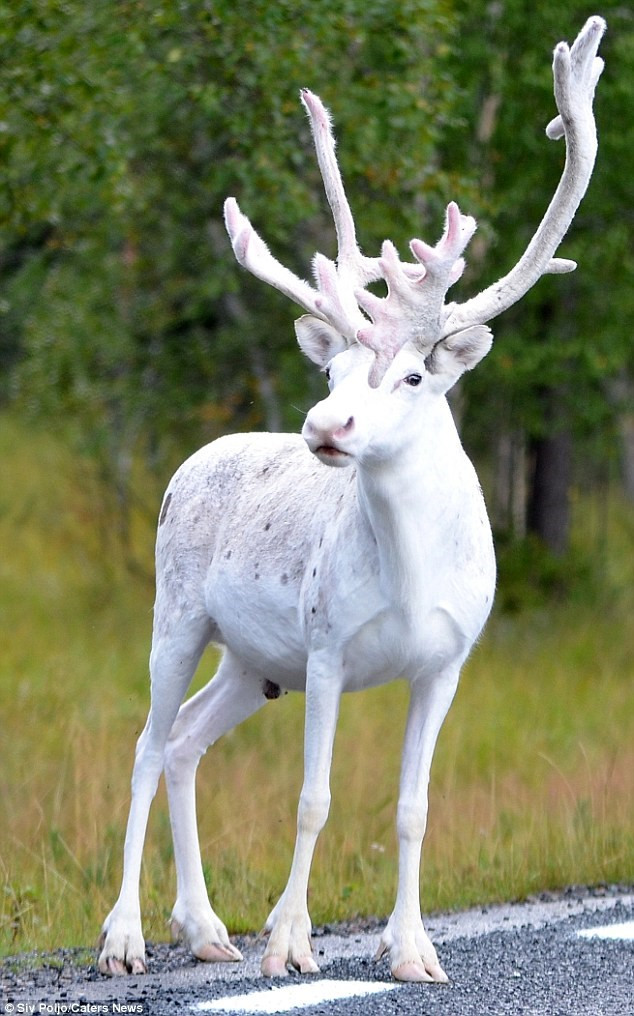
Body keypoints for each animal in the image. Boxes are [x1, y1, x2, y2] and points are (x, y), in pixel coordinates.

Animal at [98, 17, 605, 983]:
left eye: (412, 375)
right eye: (331, 371)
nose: (324, 424)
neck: (409, 576)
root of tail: (187, 464)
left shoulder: (446, 662)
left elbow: (412, 807)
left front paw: (411, 950)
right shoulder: (328, 646)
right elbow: (313, 797)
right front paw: (289, 944)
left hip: (252, 662)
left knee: (183, 740)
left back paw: (206, 926)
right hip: (176, 613)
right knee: (143, 744)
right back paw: (126, 937)